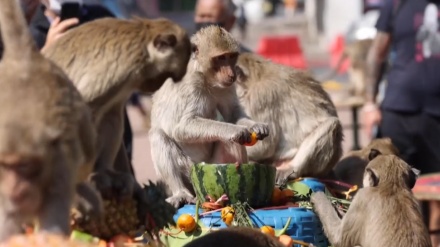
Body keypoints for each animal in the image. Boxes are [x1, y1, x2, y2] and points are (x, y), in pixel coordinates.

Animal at [0, 0, 100, 241]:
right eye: (6, 166)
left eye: (25, 166)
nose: (15, 189)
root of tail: (24, 60)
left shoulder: (59, 166)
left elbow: (53, 227)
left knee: (85, 159)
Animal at [150, 25, 270, 207]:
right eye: (220, 58)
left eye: (231, 57)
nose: (231, 74)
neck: (205, 76)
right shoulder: (190, 84)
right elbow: (182, 127)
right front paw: (234, 131)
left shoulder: (226, 86)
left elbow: (232, 114)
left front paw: (255, 125)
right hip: (188, 168)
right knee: (158, 135)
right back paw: (180, 192)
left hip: (212, 162)